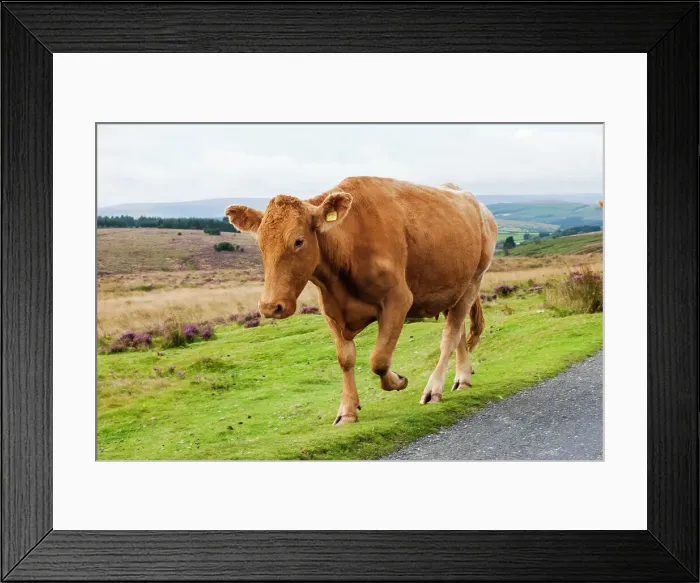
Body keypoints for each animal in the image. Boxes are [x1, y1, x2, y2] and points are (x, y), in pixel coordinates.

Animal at [225, 177, 498, 425]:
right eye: (261, 245)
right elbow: (345, 359)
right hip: (451, 290)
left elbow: (379, 359)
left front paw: (398, 380)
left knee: (449, 337)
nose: (270, 306)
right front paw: (347, 411)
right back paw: (462, 378)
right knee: (458, 332)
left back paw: (434, 389)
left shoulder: (399, 299)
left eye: (298, 241)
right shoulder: (331, 310)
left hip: (473, 281)